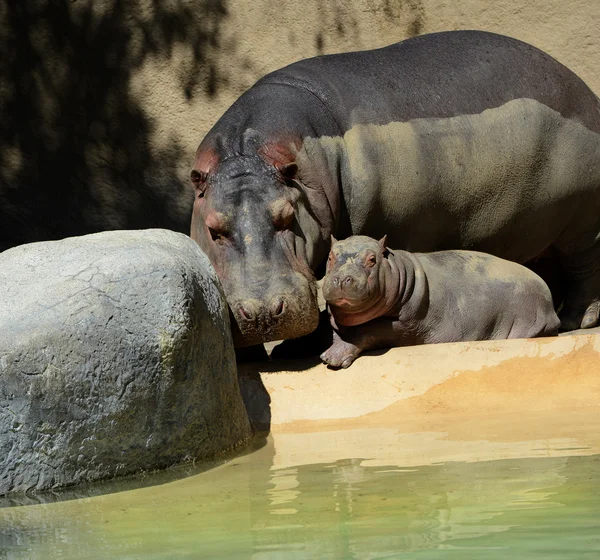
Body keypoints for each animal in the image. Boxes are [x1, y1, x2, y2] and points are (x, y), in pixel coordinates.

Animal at [191, 30, 600, 348]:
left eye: (288, 216)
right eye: (213, 228)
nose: (262, 313)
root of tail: (589, 95)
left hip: (583, 224)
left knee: (584, 268)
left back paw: (575, 321)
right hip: (538, 229)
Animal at [322, 235, 560, 370]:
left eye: (372, 259)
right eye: (330, 257)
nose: (342, 278)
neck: (399, 268)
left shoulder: (408, 327)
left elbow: (370, 330)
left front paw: (330, 358)